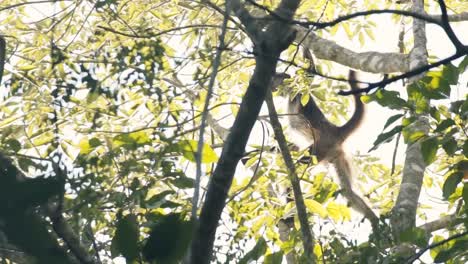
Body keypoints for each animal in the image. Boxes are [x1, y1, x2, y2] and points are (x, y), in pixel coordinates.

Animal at [288, 71, 380, 228]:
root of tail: (336, 130)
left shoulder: (299, 97)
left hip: (321, 148)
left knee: (301, 164)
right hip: (336, 154)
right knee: (347, 191)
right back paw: (374, 219)